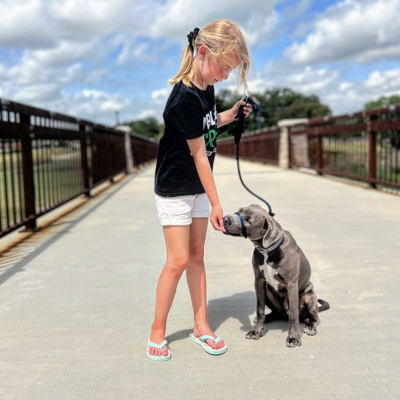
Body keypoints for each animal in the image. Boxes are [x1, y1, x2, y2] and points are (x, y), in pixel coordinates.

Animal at [223, 205, 330, 348]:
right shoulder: (259, 281)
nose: (225, 218)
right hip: (268, 292)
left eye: (248, 220)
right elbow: (260, 310)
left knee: (314, 316)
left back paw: (311, 327)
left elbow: (294, 315)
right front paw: (256, 331)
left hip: (310, 297)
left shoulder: (291, 284)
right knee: (274, 313)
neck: (267, 248)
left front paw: (293, 338)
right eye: (240, 210)